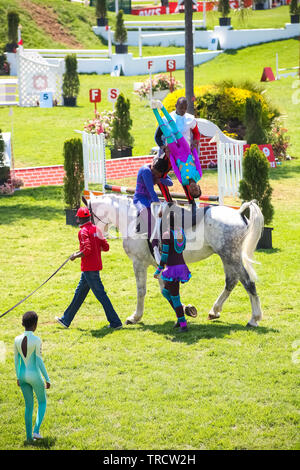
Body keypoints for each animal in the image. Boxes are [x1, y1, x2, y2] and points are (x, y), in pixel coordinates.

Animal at [83, 193, 264, 328]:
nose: (96, 236)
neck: (133, 219)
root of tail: (239, 213)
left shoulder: (139, 263)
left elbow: (141, 291)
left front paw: (135, 317)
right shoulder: (159, 266)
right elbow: (166, 291)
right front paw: (186, 310)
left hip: (231, 256)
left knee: (248, 283)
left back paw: (254, 318)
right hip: (227, 257)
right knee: (231, 281)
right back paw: (215, 310)